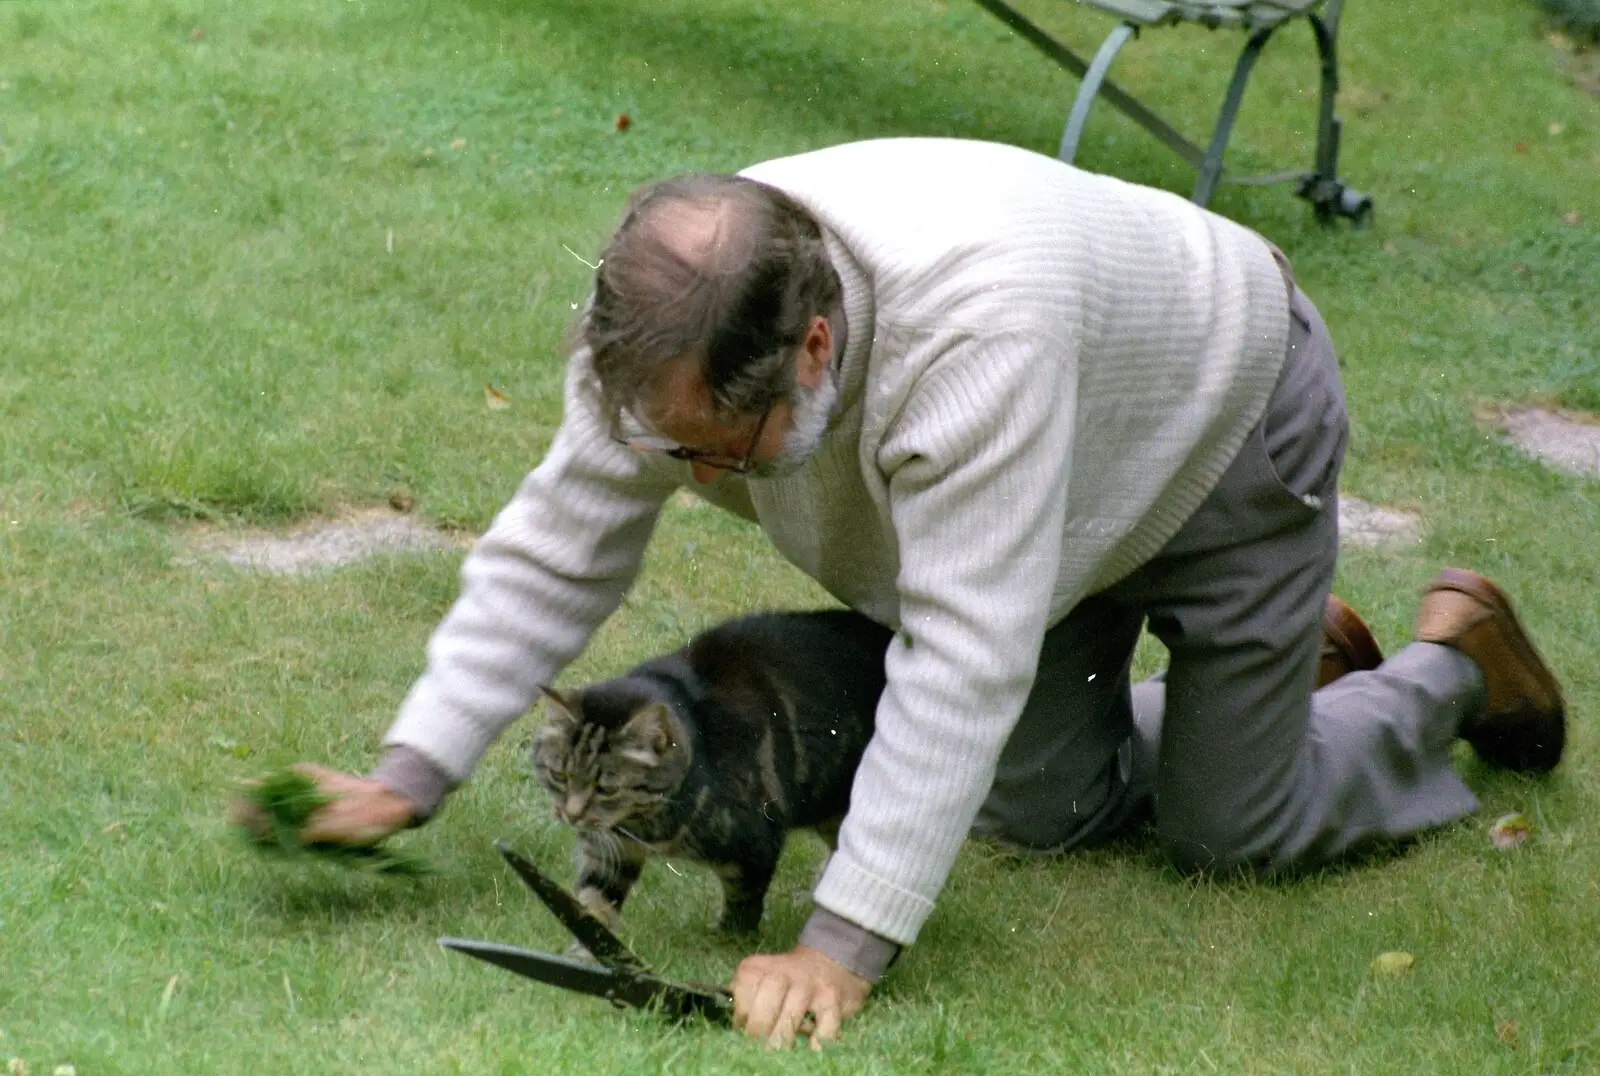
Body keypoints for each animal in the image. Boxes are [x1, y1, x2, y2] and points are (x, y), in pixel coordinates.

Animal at [531, 608, 896, 935]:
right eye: (559, 776)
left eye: (605, 789)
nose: (571, 815)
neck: (644, 825)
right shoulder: (608, 853)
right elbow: (593, 905)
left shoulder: (755, 846)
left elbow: (743, 907)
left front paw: (725, 941)